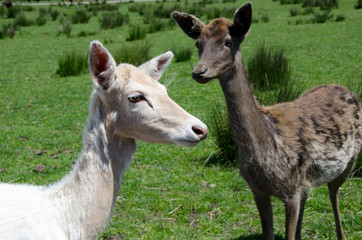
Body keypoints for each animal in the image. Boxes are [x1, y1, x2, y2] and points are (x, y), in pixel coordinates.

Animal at [174, 3, 360, 240]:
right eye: (198, 44)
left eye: (229, 42)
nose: (199, 72)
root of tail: (345, 89)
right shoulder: (259, 190)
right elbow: (269, 233)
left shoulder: (290, 190)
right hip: (307, 180)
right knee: (309, 197)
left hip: (349, 161)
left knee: (333, 194)